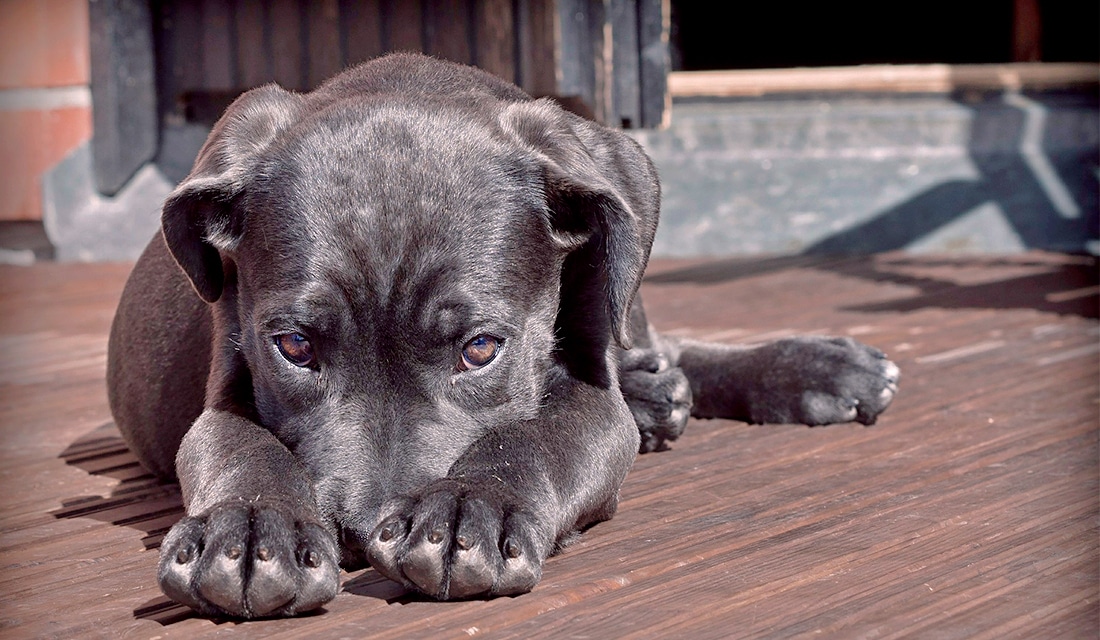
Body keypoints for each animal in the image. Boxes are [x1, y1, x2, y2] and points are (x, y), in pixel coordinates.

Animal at [107, 52, 897, 620]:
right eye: (294, 348)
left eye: (481, 349)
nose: (360, 534)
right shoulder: (225, 388)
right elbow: (239, 446)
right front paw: (248, 529)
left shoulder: (590, 399)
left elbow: (535, 436)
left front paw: (468, 508)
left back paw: (810, 368)